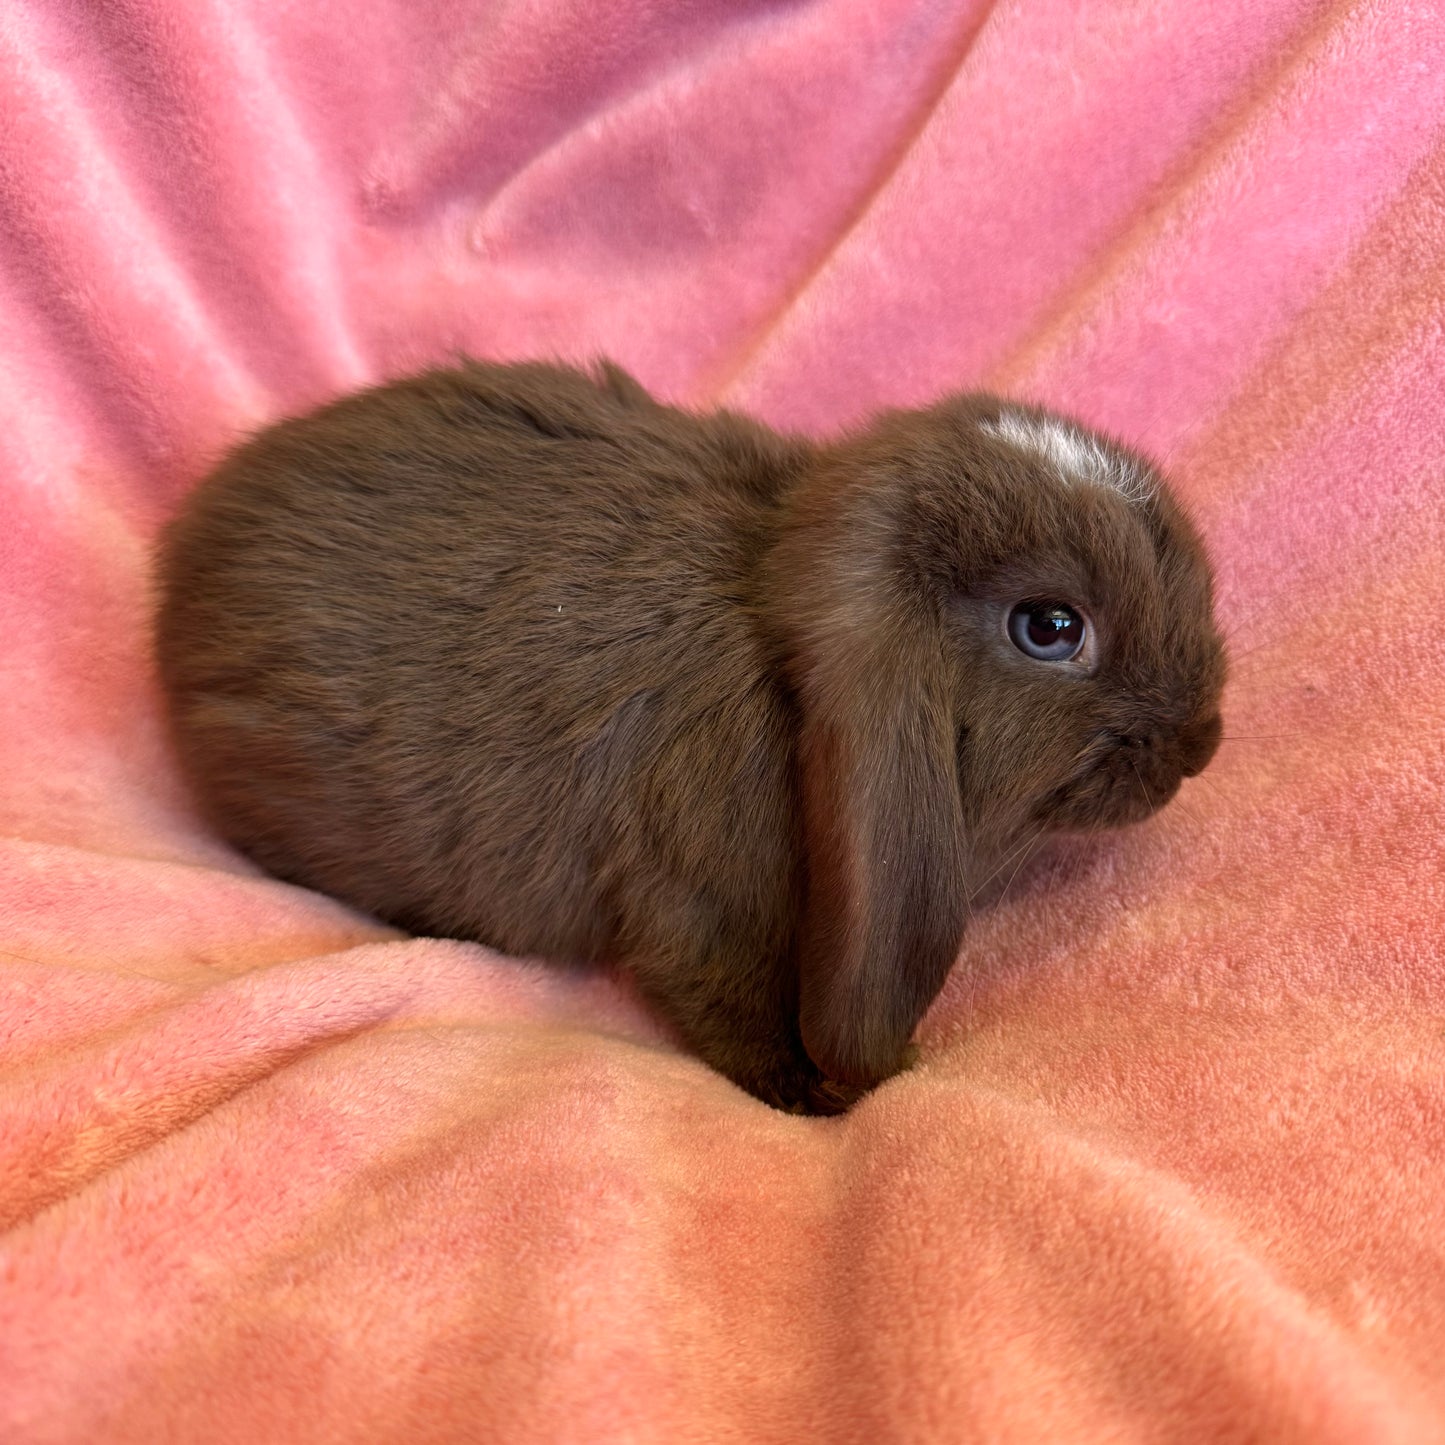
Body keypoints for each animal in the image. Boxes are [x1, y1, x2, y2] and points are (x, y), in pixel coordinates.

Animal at [154, 358, 1226, 1115]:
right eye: (1050, 627)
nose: (1203, 743)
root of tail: (180, 568)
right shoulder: (697, 906)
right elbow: (729, 1005)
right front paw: (812, 1099)